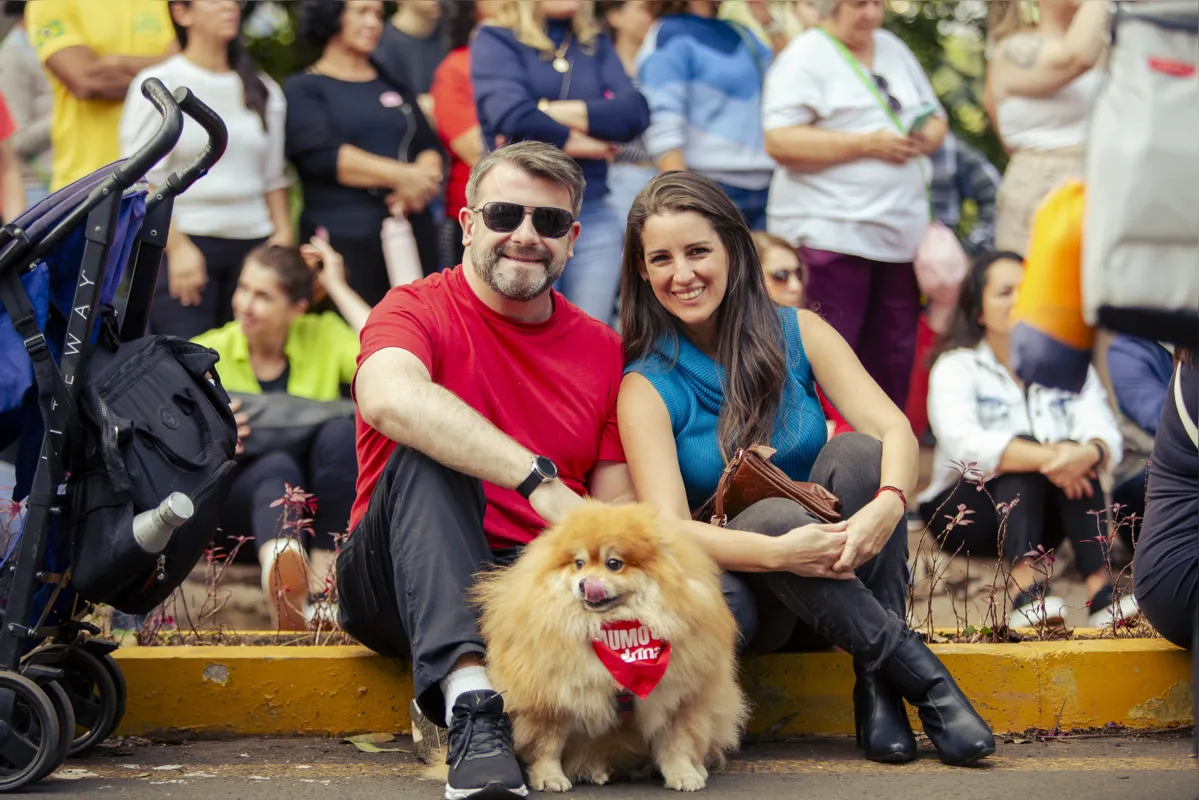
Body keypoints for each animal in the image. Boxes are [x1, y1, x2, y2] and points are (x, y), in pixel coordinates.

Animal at [472, 503, 743, 791]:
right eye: (578, 564)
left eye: (614, 564)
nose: (585, 584)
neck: (615, 633)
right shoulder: (550, 699)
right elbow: (546, 745)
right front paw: (549, 777)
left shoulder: (676, 698)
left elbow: (677, 743)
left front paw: (683, 774)